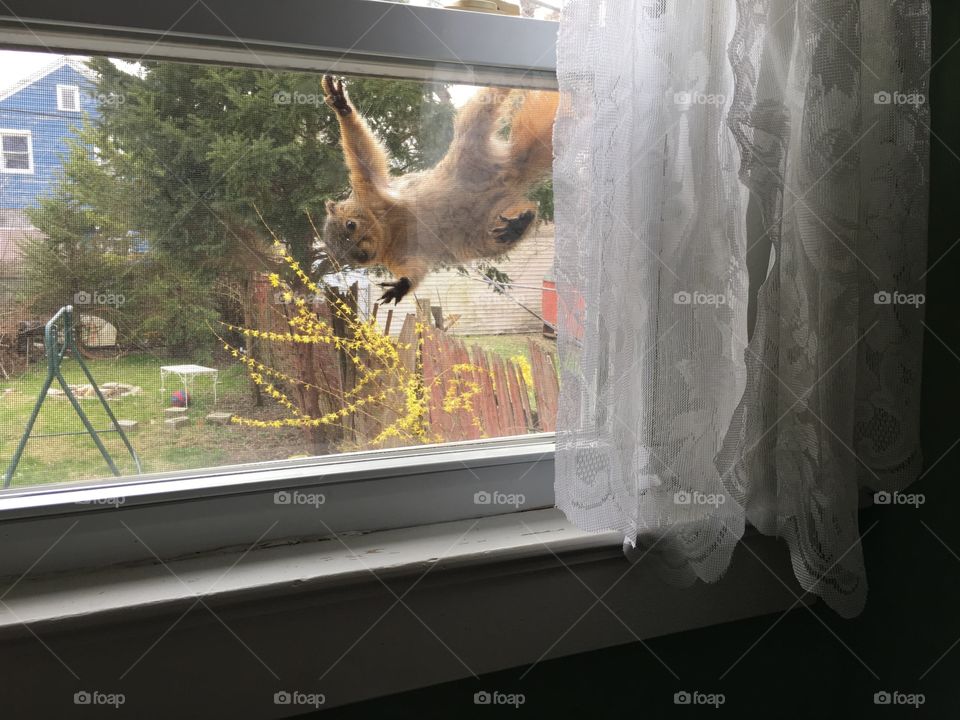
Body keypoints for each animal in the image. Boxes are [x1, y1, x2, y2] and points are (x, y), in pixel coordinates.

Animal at [320, 75, 558, 304]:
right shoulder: (402, 255)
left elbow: (364, 159)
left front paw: (341, 105)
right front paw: (400, 286)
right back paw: (519, 223)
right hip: (485, 231)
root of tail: (511, 173)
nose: (361, 257)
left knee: (481, 110)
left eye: (351, 225)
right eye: (340, 256)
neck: (388, 230)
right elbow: (412, 270)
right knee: (524, 213)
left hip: (472, 143)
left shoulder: (372, 193)